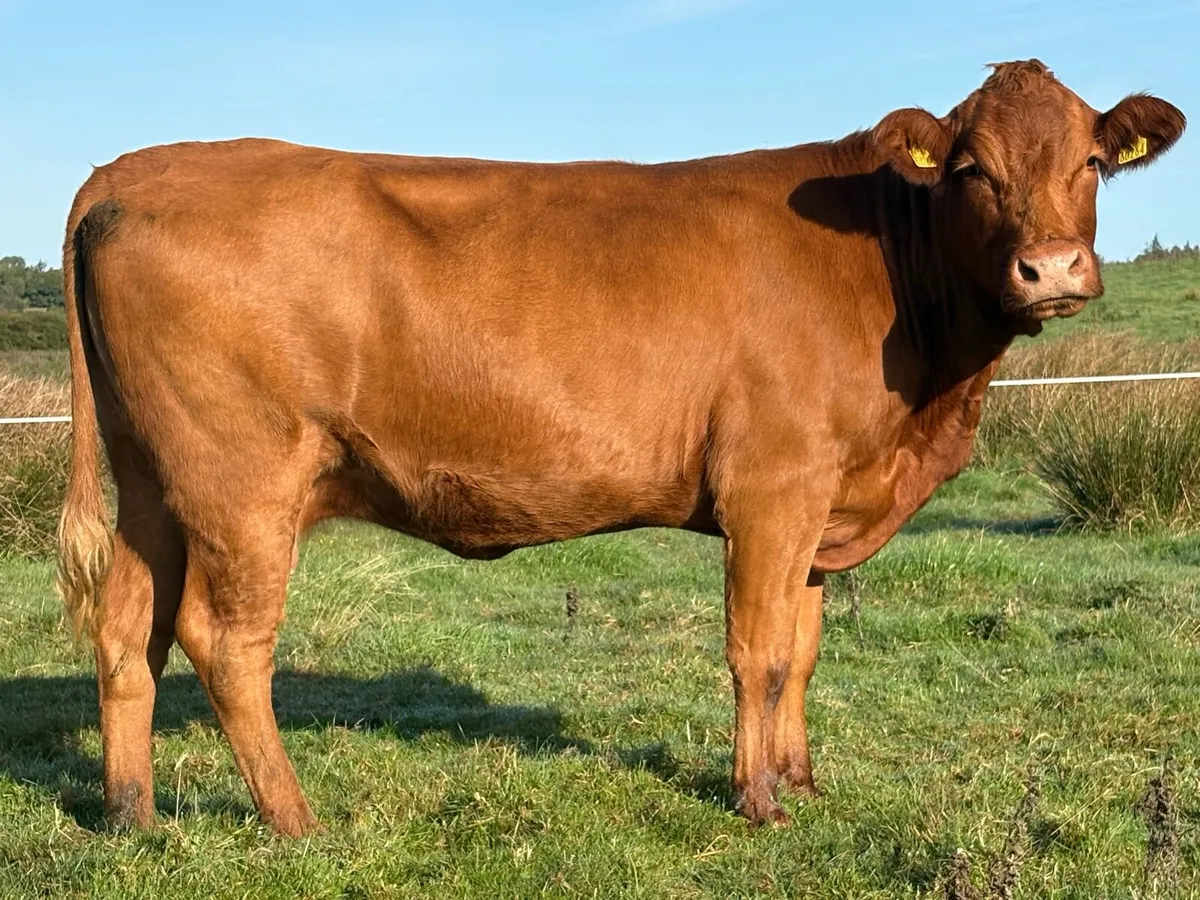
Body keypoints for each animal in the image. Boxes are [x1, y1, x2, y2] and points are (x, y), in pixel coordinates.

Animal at [57, 59, 1184, 836]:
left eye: (1090, 161)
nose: (1052, 270)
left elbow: (806, 651)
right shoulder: (772, 486)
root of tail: (133, 166)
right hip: (242, 480)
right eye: (973, 170)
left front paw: (806, 781)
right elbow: (760, 652)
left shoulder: (822, 500)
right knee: (224, 639)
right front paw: (760, 801)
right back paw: (295, 821)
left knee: (127, 629)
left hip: (155, 478)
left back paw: (132, 813)